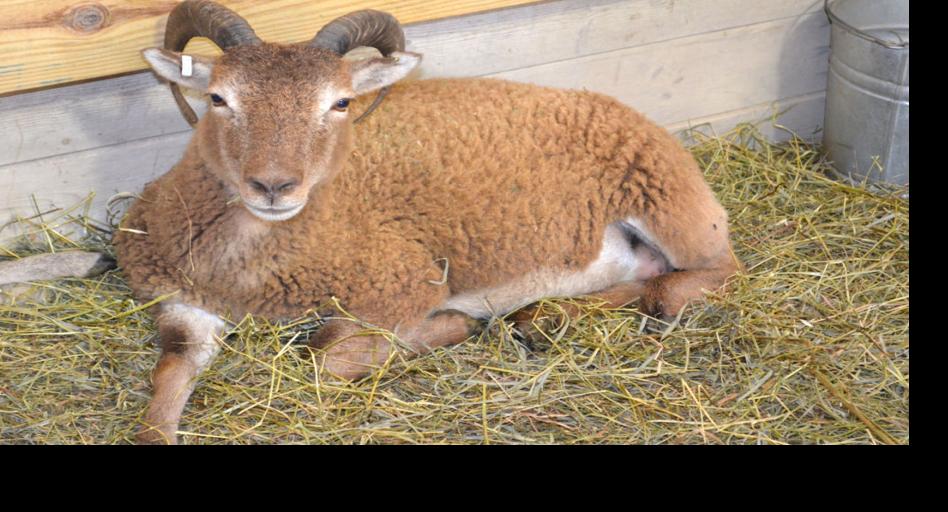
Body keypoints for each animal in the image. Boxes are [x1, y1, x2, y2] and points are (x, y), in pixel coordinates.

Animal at [107, 0, 740, 444]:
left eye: (340, 103)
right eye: (218, 98)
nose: (273, 186)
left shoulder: (404, 283)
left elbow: (325, 357)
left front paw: (453, 324)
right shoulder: (182, 300)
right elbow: (169, 373)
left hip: (673, 205)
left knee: (708, 275)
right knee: (644, 275)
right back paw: (543, 317)